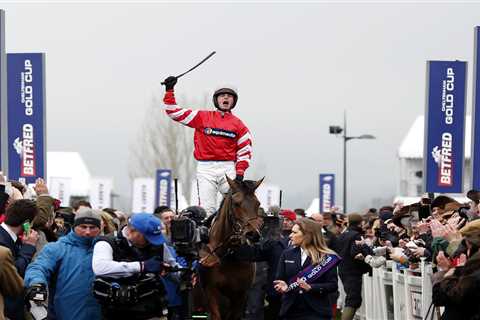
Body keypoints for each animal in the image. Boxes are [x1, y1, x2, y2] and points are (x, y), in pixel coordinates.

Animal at [198, 176, 264, 318]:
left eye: (258, 204)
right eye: (236, 203)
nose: (253, 234)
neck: (228, 254)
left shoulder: (240, 294)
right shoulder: (211, 290)